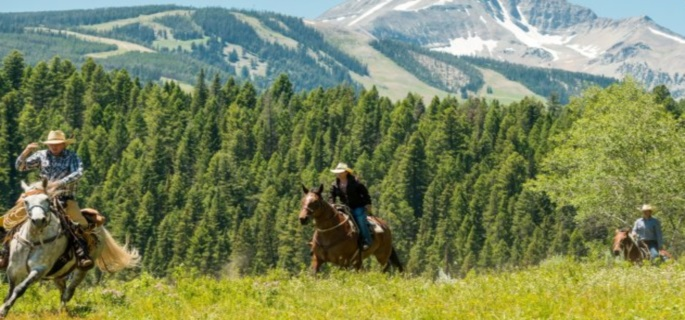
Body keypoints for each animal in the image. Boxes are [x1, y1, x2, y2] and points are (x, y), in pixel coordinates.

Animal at [0, 180, 140, 318]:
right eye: (26, 201)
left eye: (47, 200)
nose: (39, 220)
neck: (33, 241)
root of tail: (100, 228)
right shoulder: (13, 270)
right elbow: (10, 291)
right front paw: (5, 306)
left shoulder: (40, 269)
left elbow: (20, 288)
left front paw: (4, 310)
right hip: (58, 274)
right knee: (63, 290)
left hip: (82, 269)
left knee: (69, 291)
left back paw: (63, 310)